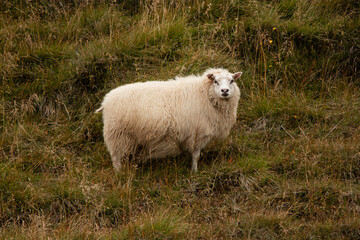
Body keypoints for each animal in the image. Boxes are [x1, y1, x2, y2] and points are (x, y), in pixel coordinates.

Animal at [95, 68, 242, 172]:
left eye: (232, 81)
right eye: (216, 81)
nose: (225, 91)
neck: (205, 94)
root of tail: (105, 102)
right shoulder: (198, 133)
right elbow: (195, 155)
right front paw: (194, 171)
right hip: (118, 135)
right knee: (116, 159)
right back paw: (119, 174)